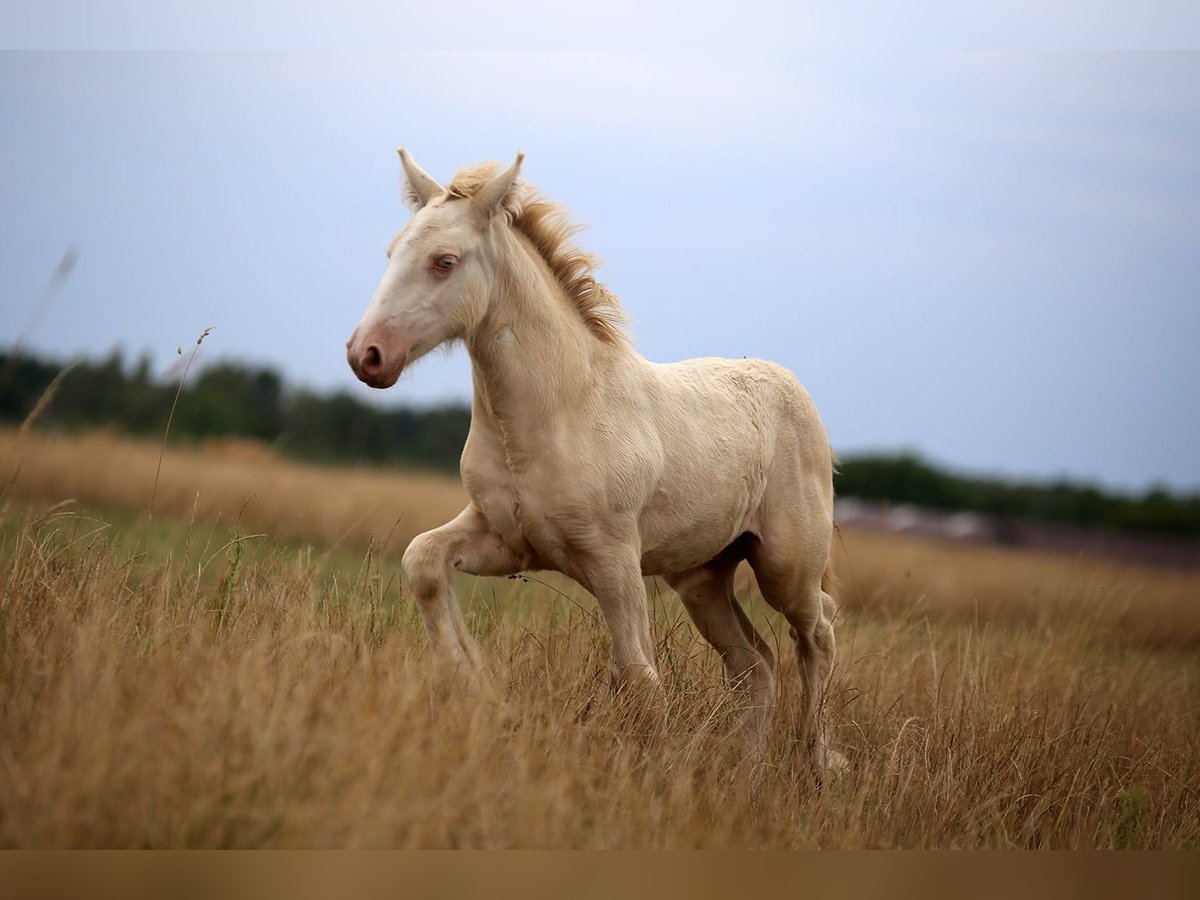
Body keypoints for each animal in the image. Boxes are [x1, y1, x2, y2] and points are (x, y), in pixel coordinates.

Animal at [343, 151, 840, 777]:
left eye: (444, 261)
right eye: (391, 252)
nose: (367, 355)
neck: (557, 414)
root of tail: (795, 390)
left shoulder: (613, 559)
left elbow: (642, 681)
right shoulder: (507, 540)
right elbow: (422, 560)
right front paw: (473, 682)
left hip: (785, 565)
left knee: (817, 632)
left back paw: (820, 764)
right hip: (703, 578)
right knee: (757, 666)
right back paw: (749, 777)